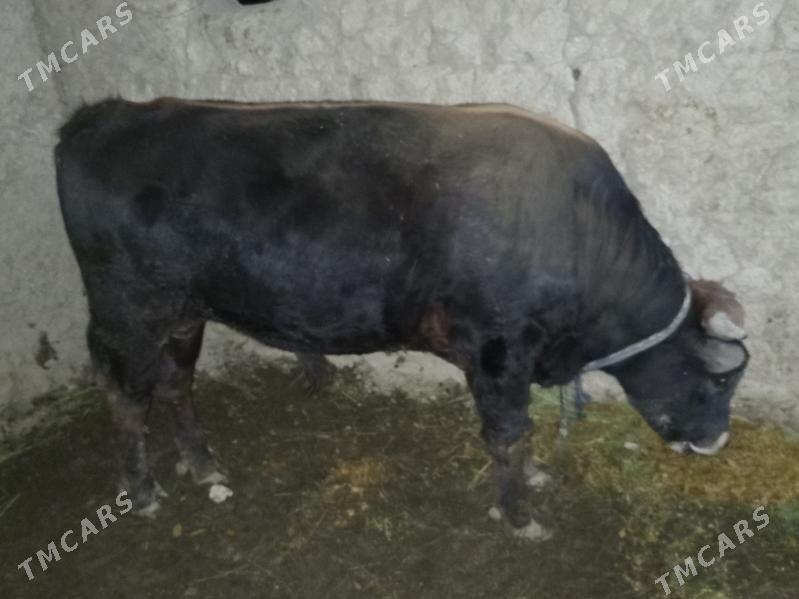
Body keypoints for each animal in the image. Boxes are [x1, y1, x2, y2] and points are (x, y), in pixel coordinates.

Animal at [55, 98, 749, 538]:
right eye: (719, 379)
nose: (716, 442)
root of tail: (101, 115)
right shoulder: (498, 353)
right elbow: (509, 433)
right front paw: (520, 516)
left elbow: (521, 436)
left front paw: (532, 484)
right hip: (127, 312)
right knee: (125, 394)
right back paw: (143, 491)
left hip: (181, 314)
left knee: (177, 382)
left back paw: (203, 466)